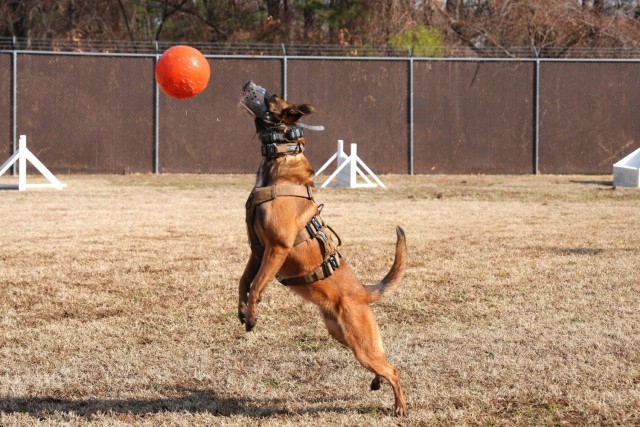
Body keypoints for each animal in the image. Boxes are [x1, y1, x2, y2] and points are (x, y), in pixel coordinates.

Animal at [238, 81, 408, 418]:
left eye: (272, 97)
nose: (247, 83)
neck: (280, 167)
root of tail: (362, 292)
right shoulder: (256, 250)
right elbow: (243, 282)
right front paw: (240, 308)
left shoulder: (276, 249)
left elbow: (257, 285)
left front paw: (251, 316)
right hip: (342, 335)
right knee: (383, 364)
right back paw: (377, 382)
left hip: (360, 342)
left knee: (393, 370)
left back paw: (400, 406)